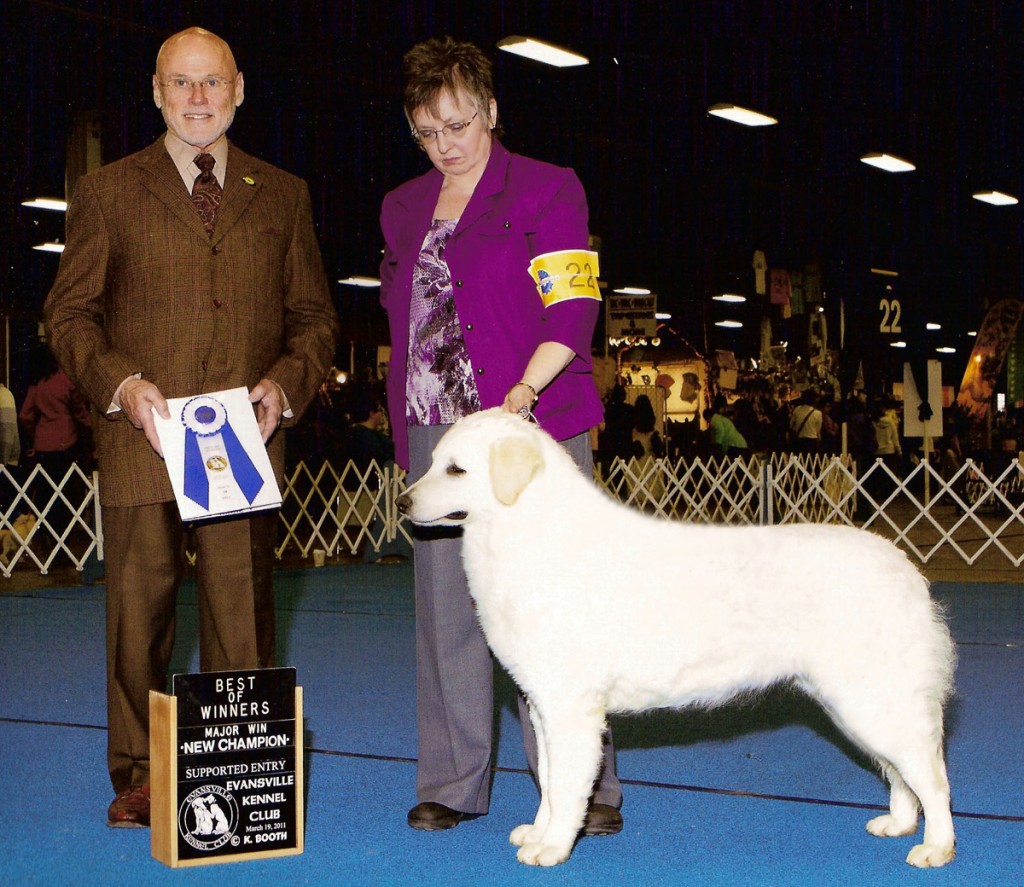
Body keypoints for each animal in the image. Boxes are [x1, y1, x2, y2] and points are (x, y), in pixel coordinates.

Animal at [395, 411, 954, 868]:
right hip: (855, 703)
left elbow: (568, 787)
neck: (529, 531)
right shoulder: (541, 705)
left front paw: (552, 848)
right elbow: (549, 783)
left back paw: (935, 848)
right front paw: (537, 833)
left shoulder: (571, 710)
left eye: (456, 470)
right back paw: (900, 824)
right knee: (902, 773)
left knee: (932, 774)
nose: (402, 501)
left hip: (871, 700)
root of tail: (905, 568)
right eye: (434, 462)